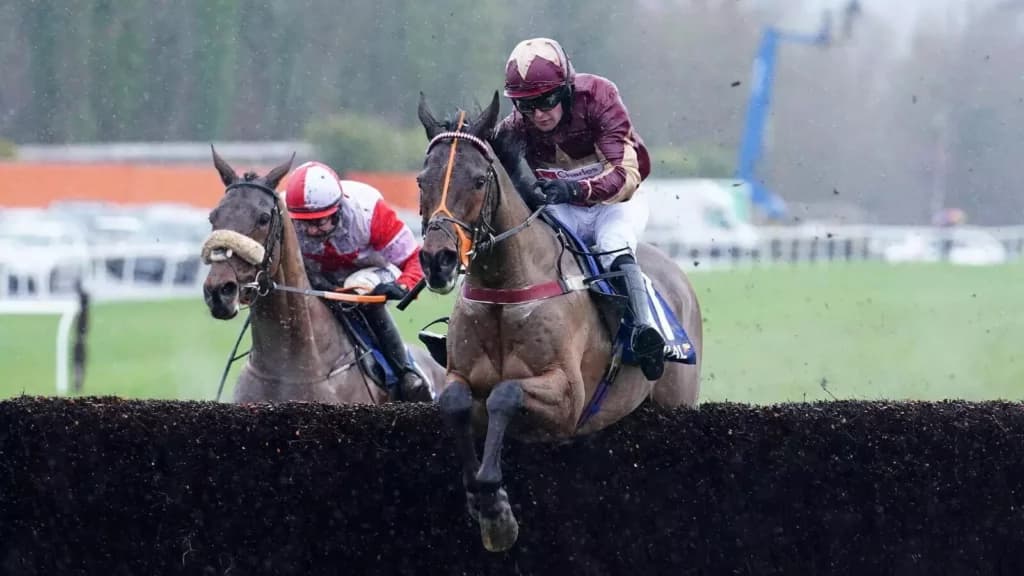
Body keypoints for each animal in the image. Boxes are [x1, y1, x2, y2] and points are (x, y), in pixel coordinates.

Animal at [415, 91, 703, 552]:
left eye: (478, 180)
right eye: (421, 180)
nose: (437, 260)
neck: (506, 286)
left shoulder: (568, 396)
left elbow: (505, 394)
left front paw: (496, 508)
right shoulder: (459, 375)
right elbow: (455, 402)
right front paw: (481, 499)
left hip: (677, 400)